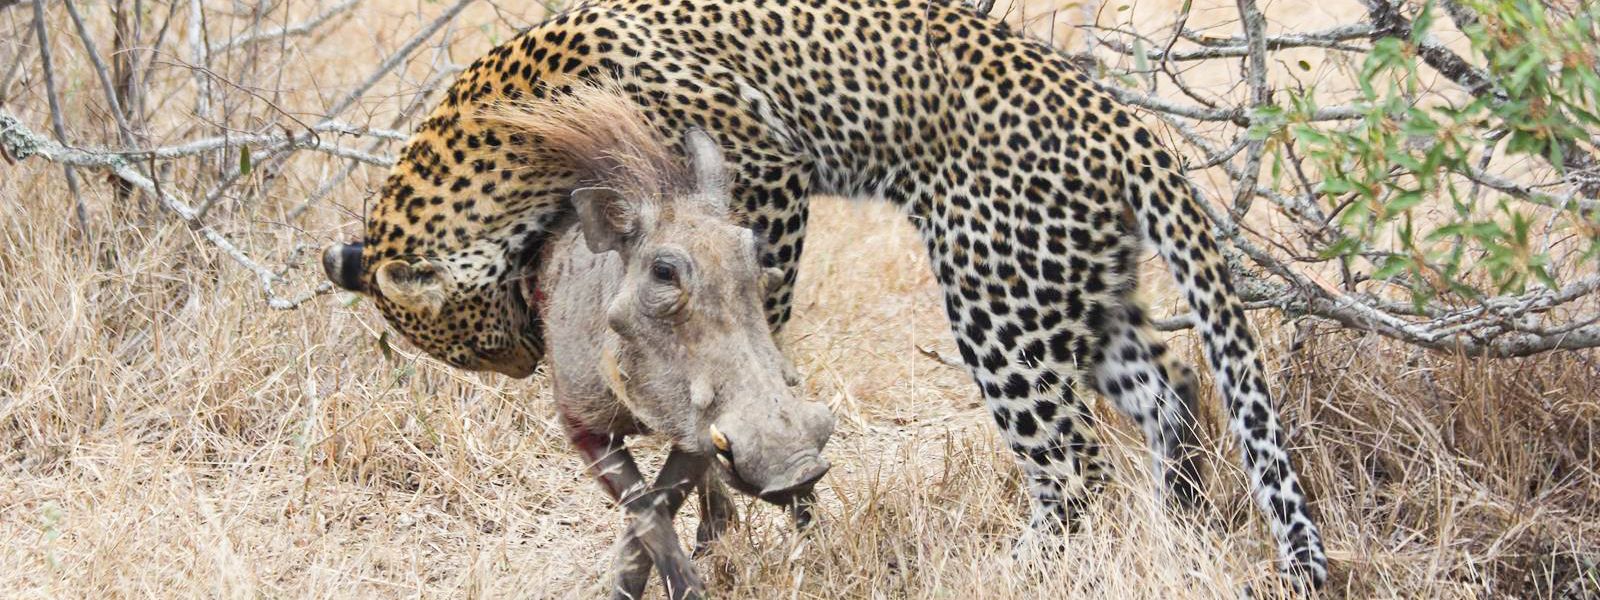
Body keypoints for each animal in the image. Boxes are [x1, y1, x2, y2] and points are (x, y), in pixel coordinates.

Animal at [320, 0, 1329, 589]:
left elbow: (752, 307)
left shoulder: (765, 167)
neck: (501, 129)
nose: (527, 359)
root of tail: (1124, 120)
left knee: (1073, 459)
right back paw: (1175, 528)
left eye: (477, 346)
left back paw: (1016, 568)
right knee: (1175, 391)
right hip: (1072, 286)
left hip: (995, 297)